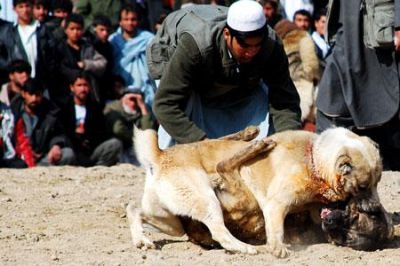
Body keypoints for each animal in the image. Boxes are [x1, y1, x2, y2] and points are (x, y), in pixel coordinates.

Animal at [127, 128, 388, 256]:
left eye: (378, 182)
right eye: (363, 186)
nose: (377, 207)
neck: (313, 159)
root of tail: (160, 156)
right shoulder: (276, 203)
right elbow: (276, 227)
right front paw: (278, 248)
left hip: (169, 219)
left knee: (134, 208)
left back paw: (142, 240)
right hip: (204, 198)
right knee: (220, 231)